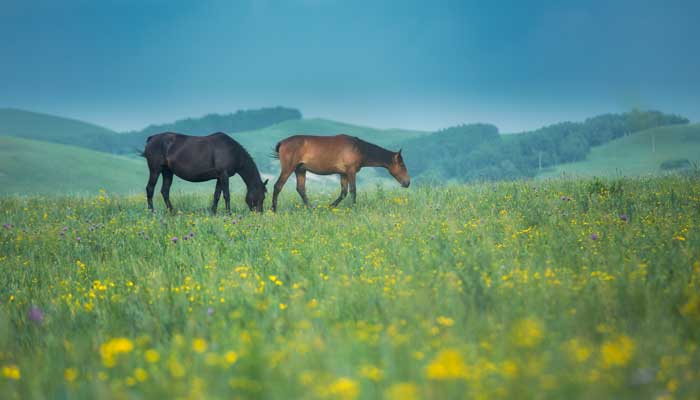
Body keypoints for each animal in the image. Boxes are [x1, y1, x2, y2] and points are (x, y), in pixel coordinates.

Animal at [270, 134, 410, 211]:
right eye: (402, 165)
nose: (407, 183)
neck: (358, 148)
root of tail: (282, 142)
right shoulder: (351, 171)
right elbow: (353, 190)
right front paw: (354, 207)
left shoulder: (343, 174)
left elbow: (343, 192)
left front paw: (330, 206)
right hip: (288, 169)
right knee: (278, 186)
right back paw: (273, 209)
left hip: (300, 170)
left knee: (301, 189)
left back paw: (311, 208)